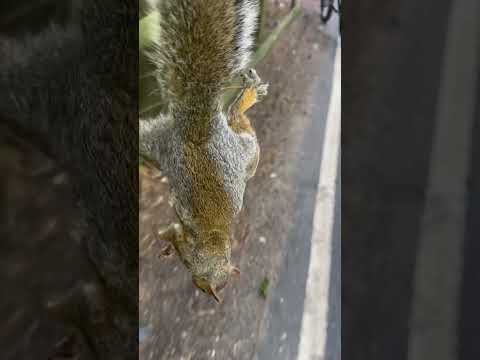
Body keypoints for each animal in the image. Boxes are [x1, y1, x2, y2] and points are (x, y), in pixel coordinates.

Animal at [139, 0, 268, 304]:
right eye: (204, 287)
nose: (207, 293)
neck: (216, 243)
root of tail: (200, 134)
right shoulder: (190, 248)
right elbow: (174, 235)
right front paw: (167, 241)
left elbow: (173, 233)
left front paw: (166, 244)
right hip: (244, 153)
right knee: (237, 118)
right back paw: (247, 96)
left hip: (157, 142)